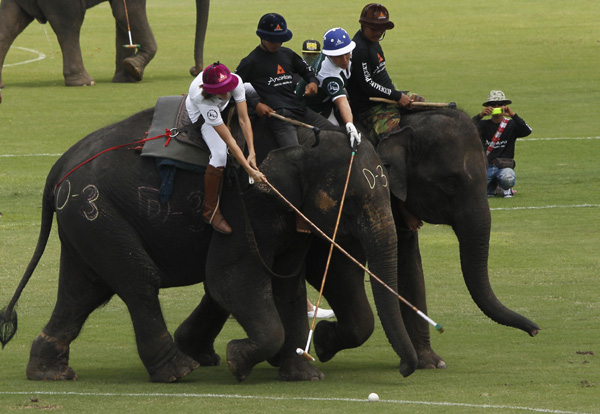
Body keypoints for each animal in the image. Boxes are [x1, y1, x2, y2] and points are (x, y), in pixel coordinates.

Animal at [0, 106, 420, 382]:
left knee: (81, 291)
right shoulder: (247, 202)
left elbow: (286, 284)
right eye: (351, 201)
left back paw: (50, 372)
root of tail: (59, 168)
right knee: (138, 281)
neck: (303, 135)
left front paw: (303, 371)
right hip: (96, 212)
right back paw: (177, 371)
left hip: (87, 223)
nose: (404, 370)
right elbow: (231, 280)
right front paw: (239, 360)